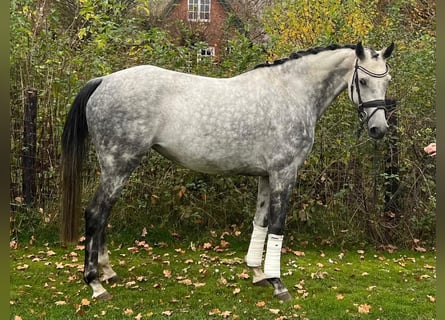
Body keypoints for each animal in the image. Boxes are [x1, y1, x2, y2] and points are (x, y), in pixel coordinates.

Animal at [61, 42, 392, 300]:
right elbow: (277, 226)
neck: (291, 92)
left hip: (116, 168)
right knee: (96, 213)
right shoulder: (284, 173)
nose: (379, 129)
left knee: (104, 214)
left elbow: (260, 222)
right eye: (363, 82)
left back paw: (107, 271)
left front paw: (257, 272)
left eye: (387, 80)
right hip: (119, 165)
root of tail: (104, 80)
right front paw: (278, 283)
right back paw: (95, 283)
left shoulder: (265, 176)